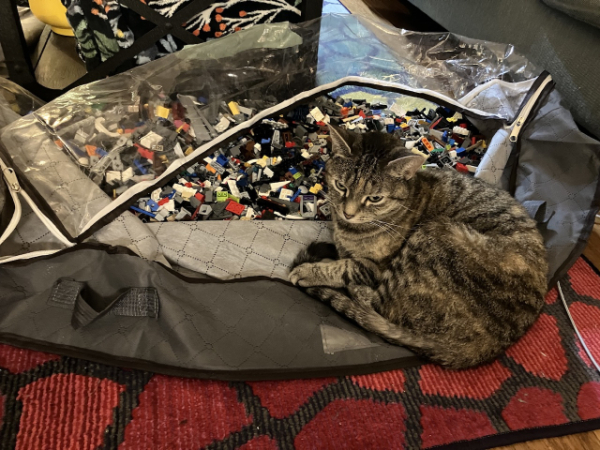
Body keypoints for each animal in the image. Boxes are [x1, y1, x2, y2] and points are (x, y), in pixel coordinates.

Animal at [290, 125, 548, 368]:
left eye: (375, 198)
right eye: (341, 186)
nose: (348, 213)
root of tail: (485, 347)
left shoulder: (376, 269)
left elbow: (345, 267)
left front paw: (308, 271)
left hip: (433, 236)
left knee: (379, 305)